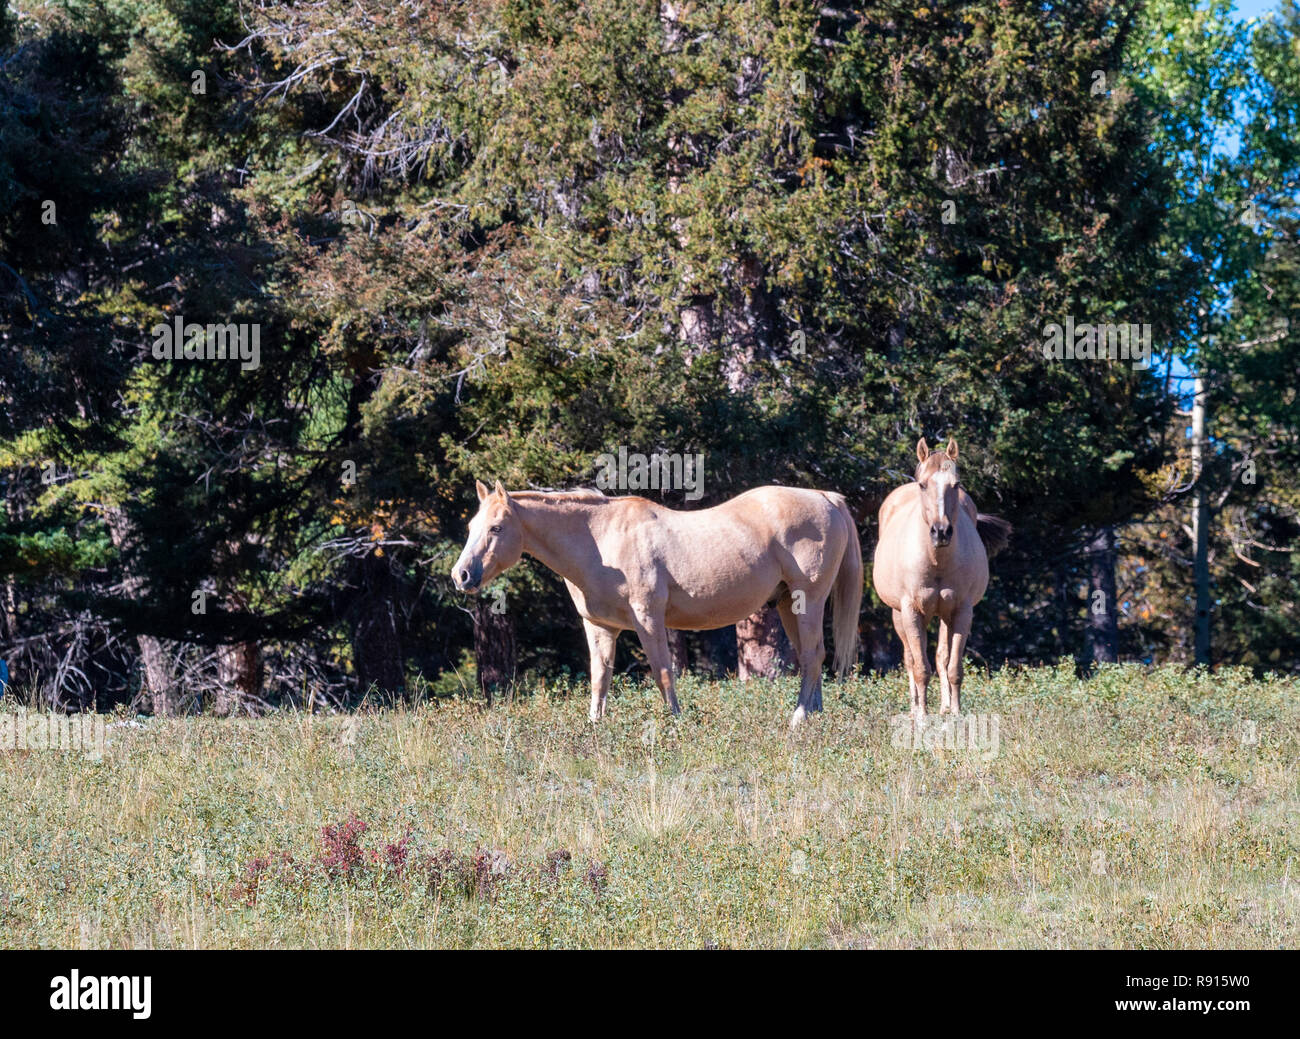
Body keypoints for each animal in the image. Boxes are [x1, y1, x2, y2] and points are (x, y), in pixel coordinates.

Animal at [452, 480, 863, 727]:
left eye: (496, 528)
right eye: (471, 526)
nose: (462, 575)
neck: (601, 539)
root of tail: (825, 497)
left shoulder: (648, 619)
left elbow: (664, 672)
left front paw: (676, 723)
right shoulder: (600, 627)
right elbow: (599, 679)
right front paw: (594, 728)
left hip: (808, 600)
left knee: (811, 655)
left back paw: (798, 719)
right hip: (787, 604)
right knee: (814, 656)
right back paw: (815, 717)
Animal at [871, 438, 1011, 720]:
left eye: (955, 485)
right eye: (923, 484)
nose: (941, 531)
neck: (936, 562)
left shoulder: (961, 611)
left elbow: (953, 666)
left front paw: (955, 713)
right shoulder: (911, 611)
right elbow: (920, 667)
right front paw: (922, 717)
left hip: (944, 614)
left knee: (941, 656)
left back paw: (945, 707)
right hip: (900, 614)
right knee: (910, 659)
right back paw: (915, 707)